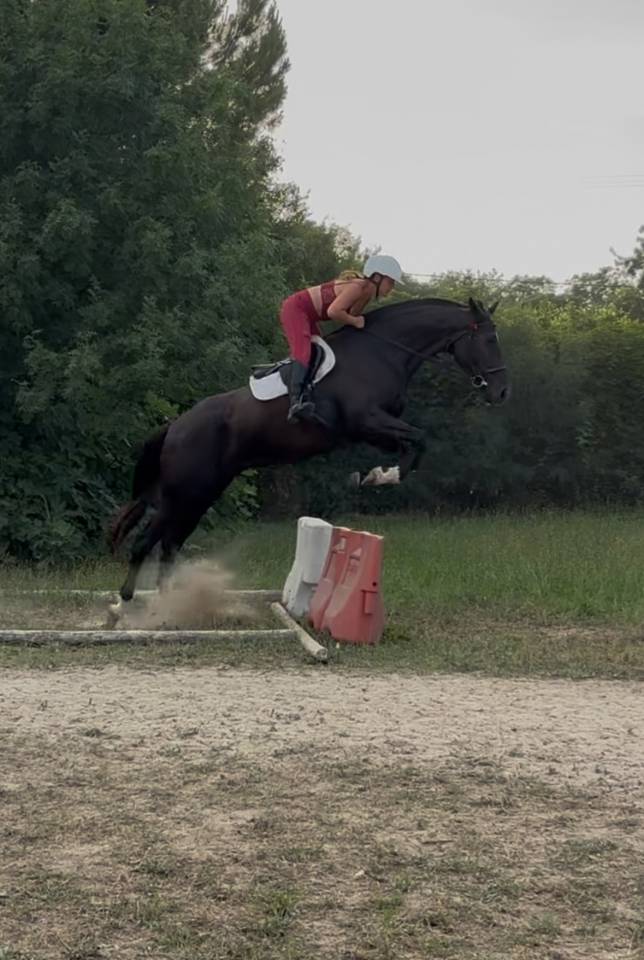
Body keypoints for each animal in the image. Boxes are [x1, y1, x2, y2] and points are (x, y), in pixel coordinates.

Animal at [110, 296, 510, 600]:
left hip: (200, 494)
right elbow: (420, 438)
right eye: (490, 340)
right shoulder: (367, 420)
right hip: (184, 493)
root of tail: (176, 424)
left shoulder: (373, 431)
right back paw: (126, 605)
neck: (383, 352)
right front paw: (382, 476)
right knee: (146, 542)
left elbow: (413, 443)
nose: (502, 392)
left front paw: (374, 475)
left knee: (169, 545)